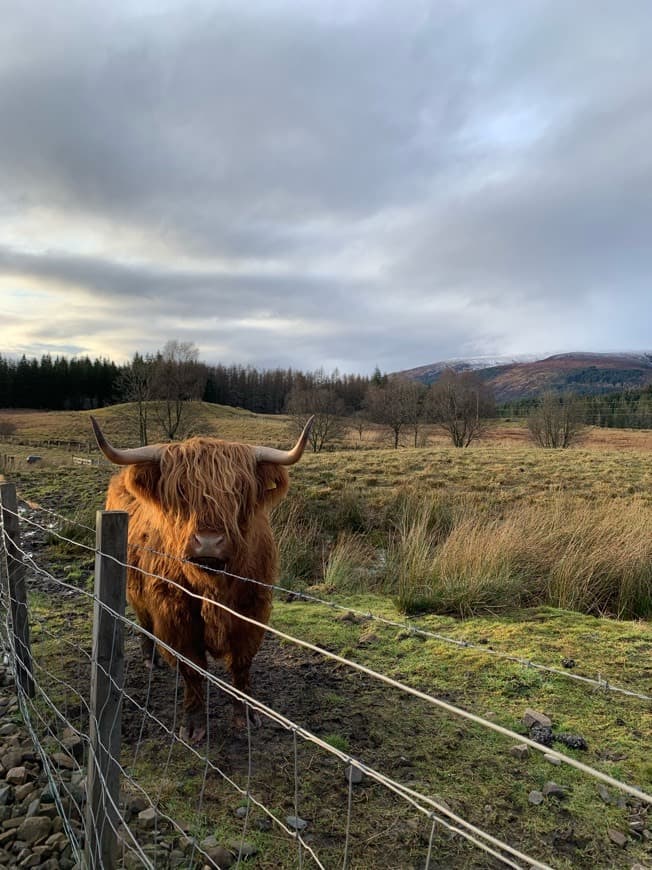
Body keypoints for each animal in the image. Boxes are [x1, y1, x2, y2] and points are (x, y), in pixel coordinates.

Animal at [91, 416, 314, 744]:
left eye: (238, 490)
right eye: (181, 491)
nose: (209, 543)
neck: (214, 589)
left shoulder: (252, 611)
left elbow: (242, 666)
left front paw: (246, 717)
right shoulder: (176, 614)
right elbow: (193, 669)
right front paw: (194, 725)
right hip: (135, 587)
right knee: (144, 622)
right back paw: (150, 658)